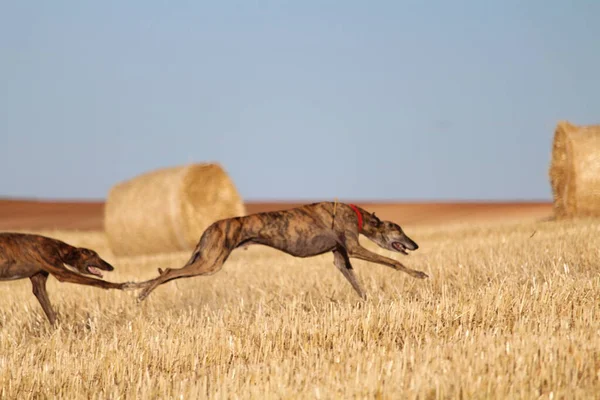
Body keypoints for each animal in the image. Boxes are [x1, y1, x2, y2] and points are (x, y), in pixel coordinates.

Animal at [0, 233, 134, 324]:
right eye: (94, 256)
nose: (111, 267)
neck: (58, 247)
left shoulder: (38, 283)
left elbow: (50, 313)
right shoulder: (63, 274)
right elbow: (97, 281)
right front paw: (122, 285)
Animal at [136, 202, 428, 302]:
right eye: (399, 230)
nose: (415, 244)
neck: (356, 214)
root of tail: (212, 226)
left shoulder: (341, 257)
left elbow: (357, 284)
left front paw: (368, 302)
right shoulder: (355, 249)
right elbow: (394, 262)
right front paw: (419, 274)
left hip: (207, 260)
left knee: (168, 272)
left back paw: (138, 287)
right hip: (210, 262)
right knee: (170, 271)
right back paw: (141, 293)